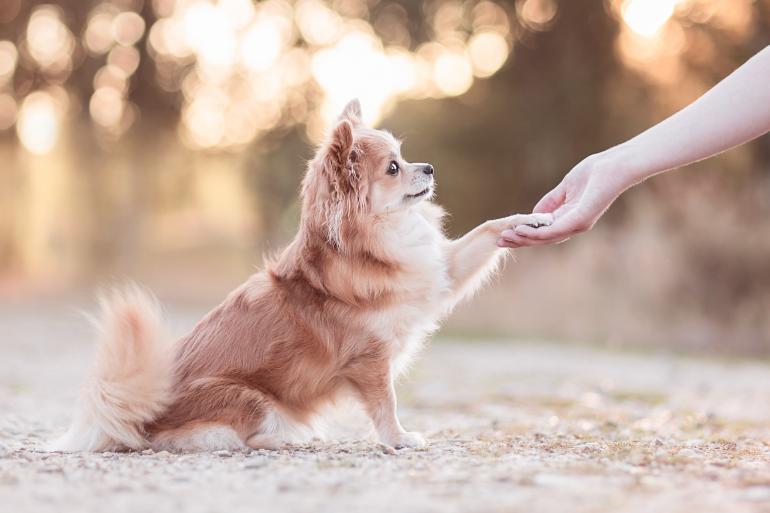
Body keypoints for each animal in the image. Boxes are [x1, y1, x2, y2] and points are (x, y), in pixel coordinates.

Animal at [49, 100, 552, 452]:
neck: (378, 238)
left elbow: (487, 230)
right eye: (394, 167)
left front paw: (531, 220)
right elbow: (386, 403)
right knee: (243, 438)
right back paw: (285, 438)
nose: (429, 167)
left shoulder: (439, 269)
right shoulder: (370, 359)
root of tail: (139, 419)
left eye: (407, 158)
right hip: (252, 398)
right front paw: (398, 438)